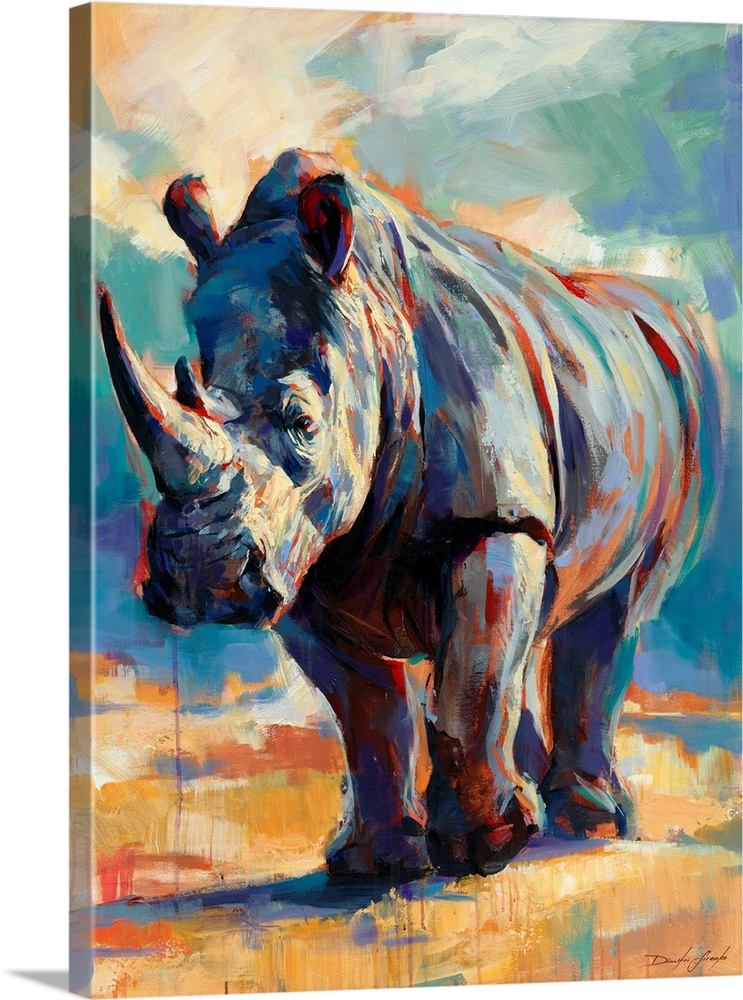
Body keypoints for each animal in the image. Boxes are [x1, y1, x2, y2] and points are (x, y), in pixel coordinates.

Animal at [100, 148, 721, 879]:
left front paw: (482, 850)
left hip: (685, 408)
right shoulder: (302, 554)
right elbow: (368, 714)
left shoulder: (492, 517)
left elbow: (469, 681)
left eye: (302, 423)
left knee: (616, 611)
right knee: (543, 618)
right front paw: (374, 865)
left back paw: (587, 823)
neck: (368, 328)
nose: (201, 580)